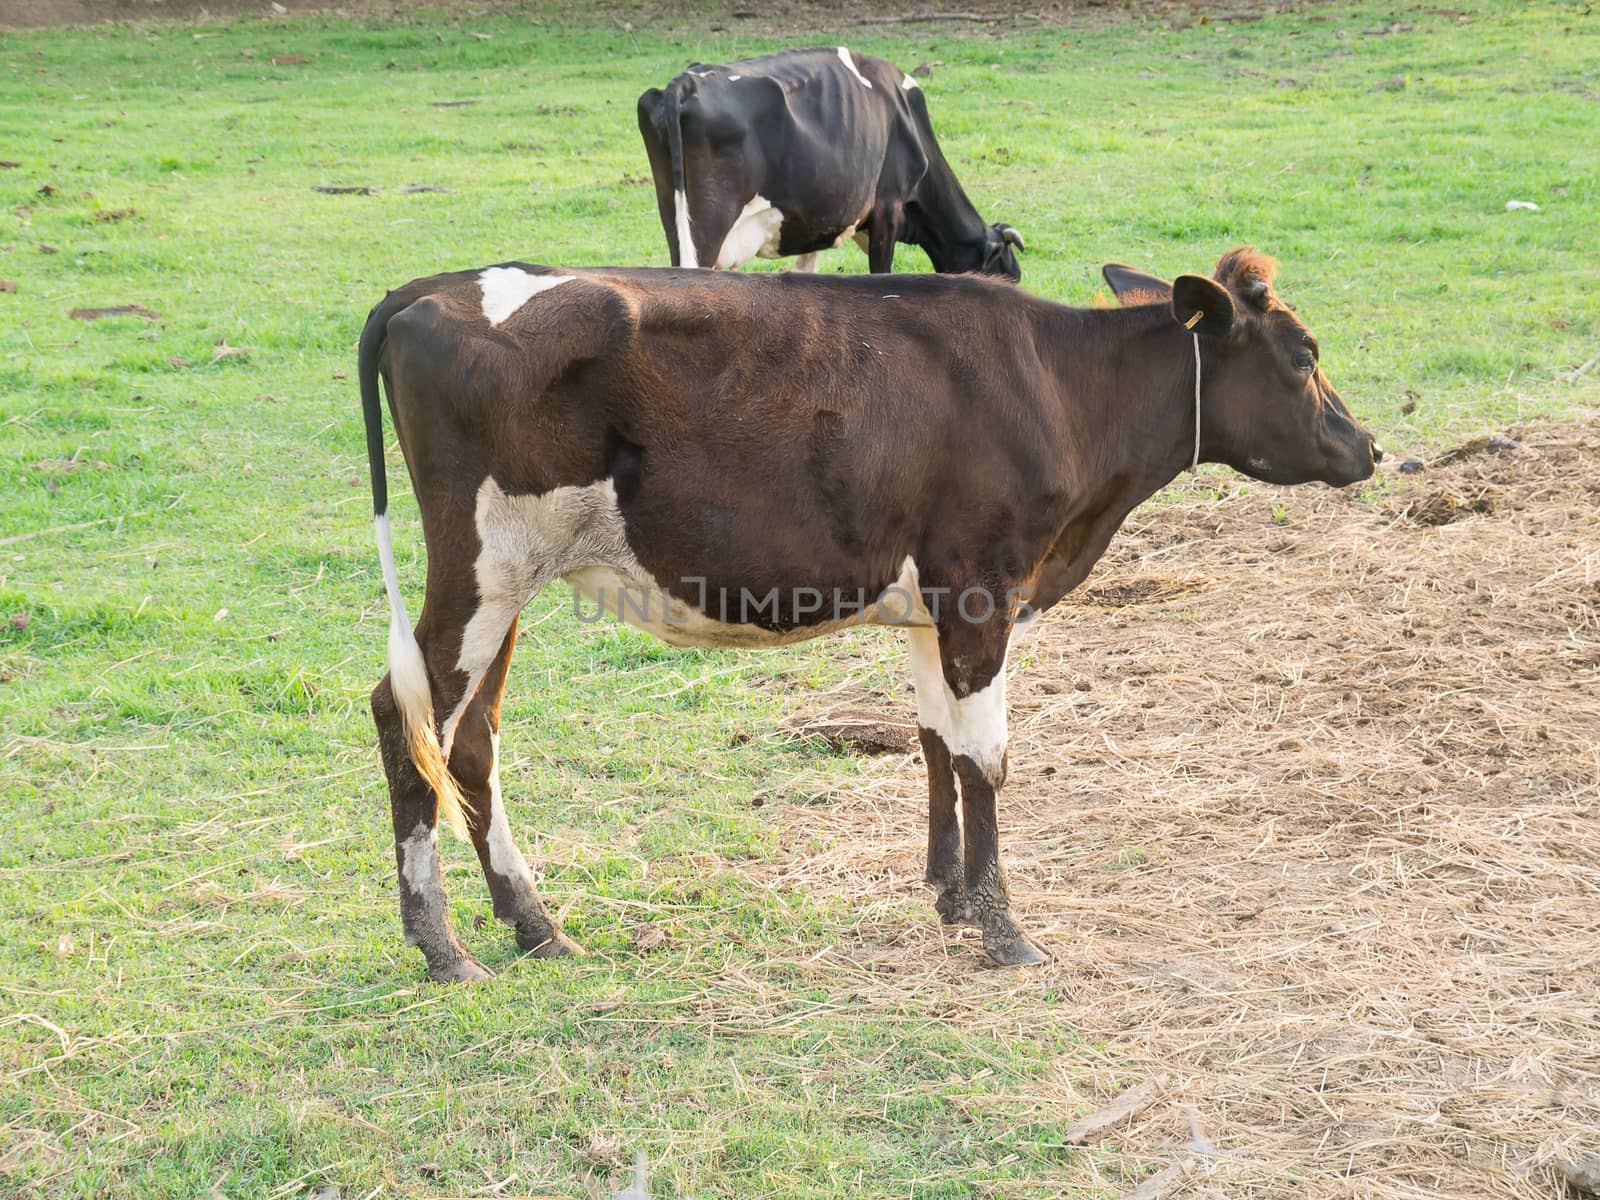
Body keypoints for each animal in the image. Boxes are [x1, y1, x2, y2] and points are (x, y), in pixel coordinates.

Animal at [360, 249, 1376, 979]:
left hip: (509, 583)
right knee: (403, 718)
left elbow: (937, 744)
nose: (1366, 446)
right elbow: (987, 759)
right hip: (482, 567)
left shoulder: (935, 605)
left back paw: (536, 927)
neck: (1055, 389)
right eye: (1305, 356)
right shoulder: (982, 586)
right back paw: (443, 947)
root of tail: (431, 288)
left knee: (470, 742)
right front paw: (1004, 930)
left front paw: (954, 900)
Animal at [636, 46, 1024, 276]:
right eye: (1009, 274)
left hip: (674, 215)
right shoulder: (888, 208)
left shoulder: (815, 225)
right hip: (708, 226)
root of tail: (684, 83)